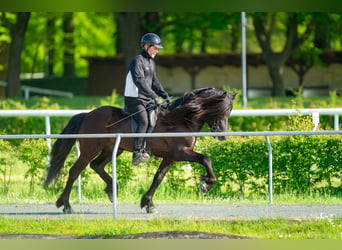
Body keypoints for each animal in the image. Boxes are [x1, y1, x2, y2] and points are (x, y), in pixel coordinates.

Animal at [43, 87, 235, 213]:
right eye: (222, 110)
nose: (222, 135)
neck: (182, 119)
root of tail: (87, 115)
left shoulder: (171, 157)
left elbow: (158, 177)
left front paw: (147, 203)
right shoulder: (181, 152)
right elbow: (206, 159)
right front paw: (206, 184)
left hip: (113, 149)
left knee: (96, 166)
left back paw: (111, 189)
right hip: (90, 149)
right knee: (75, 171)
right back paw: (65, 204)